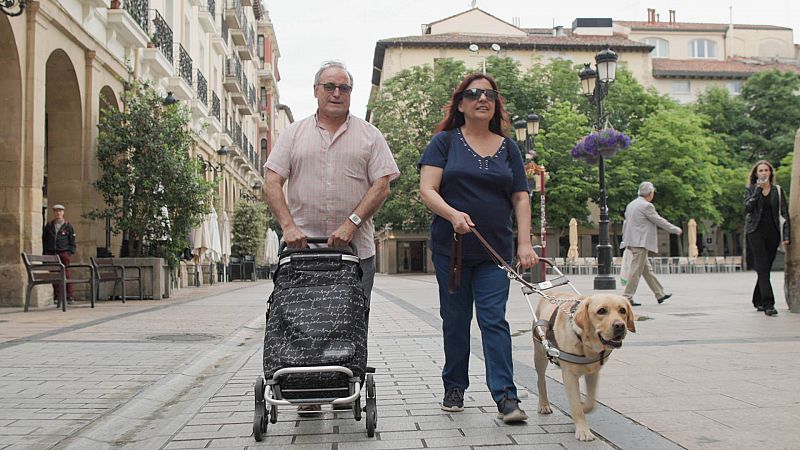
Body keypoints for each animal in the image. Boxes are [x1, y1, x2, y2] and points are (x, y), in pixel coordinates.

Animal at [532, 294, 636, 442]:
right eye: (601, 311)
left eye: (622, 310)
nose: (620, 326)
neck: (586, 344)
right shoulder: (569, 375)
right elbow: (575, 405)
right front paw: (583, 431)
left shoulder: (593, 372)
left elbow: (590, 402)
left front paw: (583, 407)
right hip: (540, 355)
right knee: (541, 380)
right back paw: (544, 404)